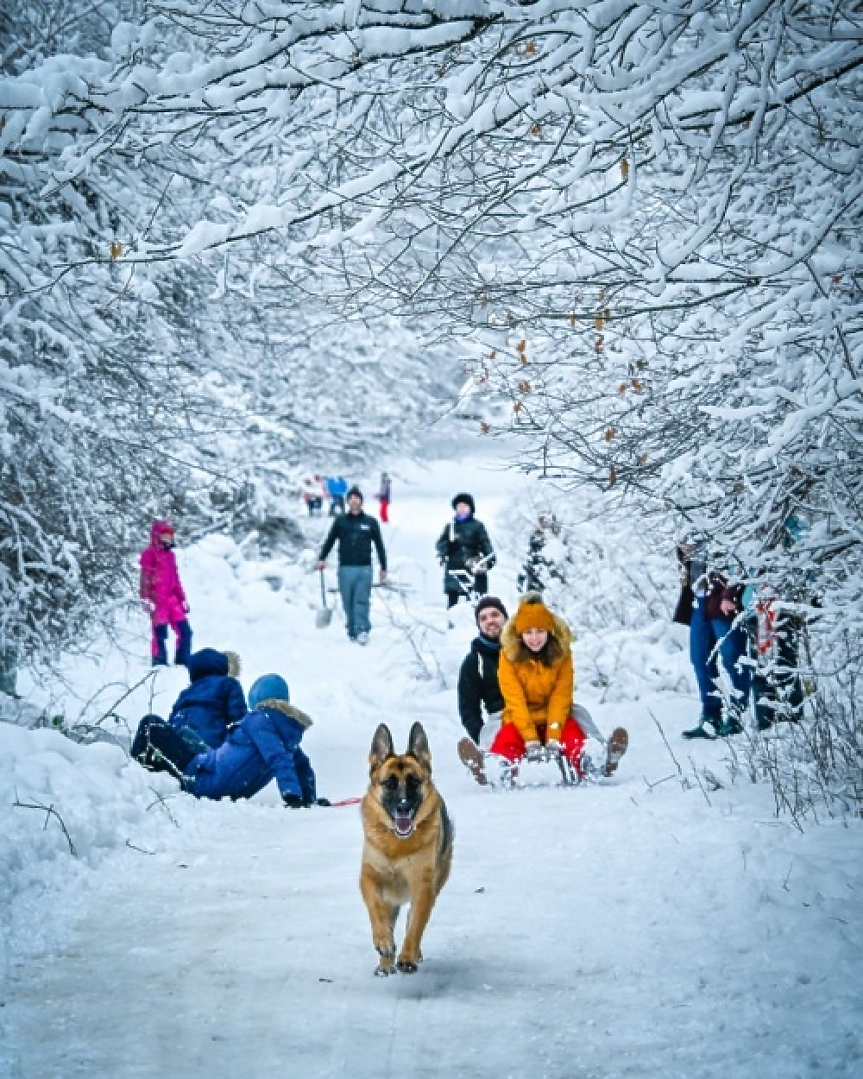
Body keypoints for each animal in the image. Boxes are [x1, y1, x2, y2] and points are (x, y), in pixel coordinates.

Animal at [358, 725, 455, 979]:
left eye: (414, 782)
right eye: (389, 784)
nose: (403, 807)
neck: (396, 845)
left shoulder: (423, 886)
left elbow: (416, 925)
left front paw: (408, 957)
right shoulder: (368, 878)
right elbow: (376, 910)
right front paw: (384, 943)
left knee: (412, 918)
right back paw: (386, 962)